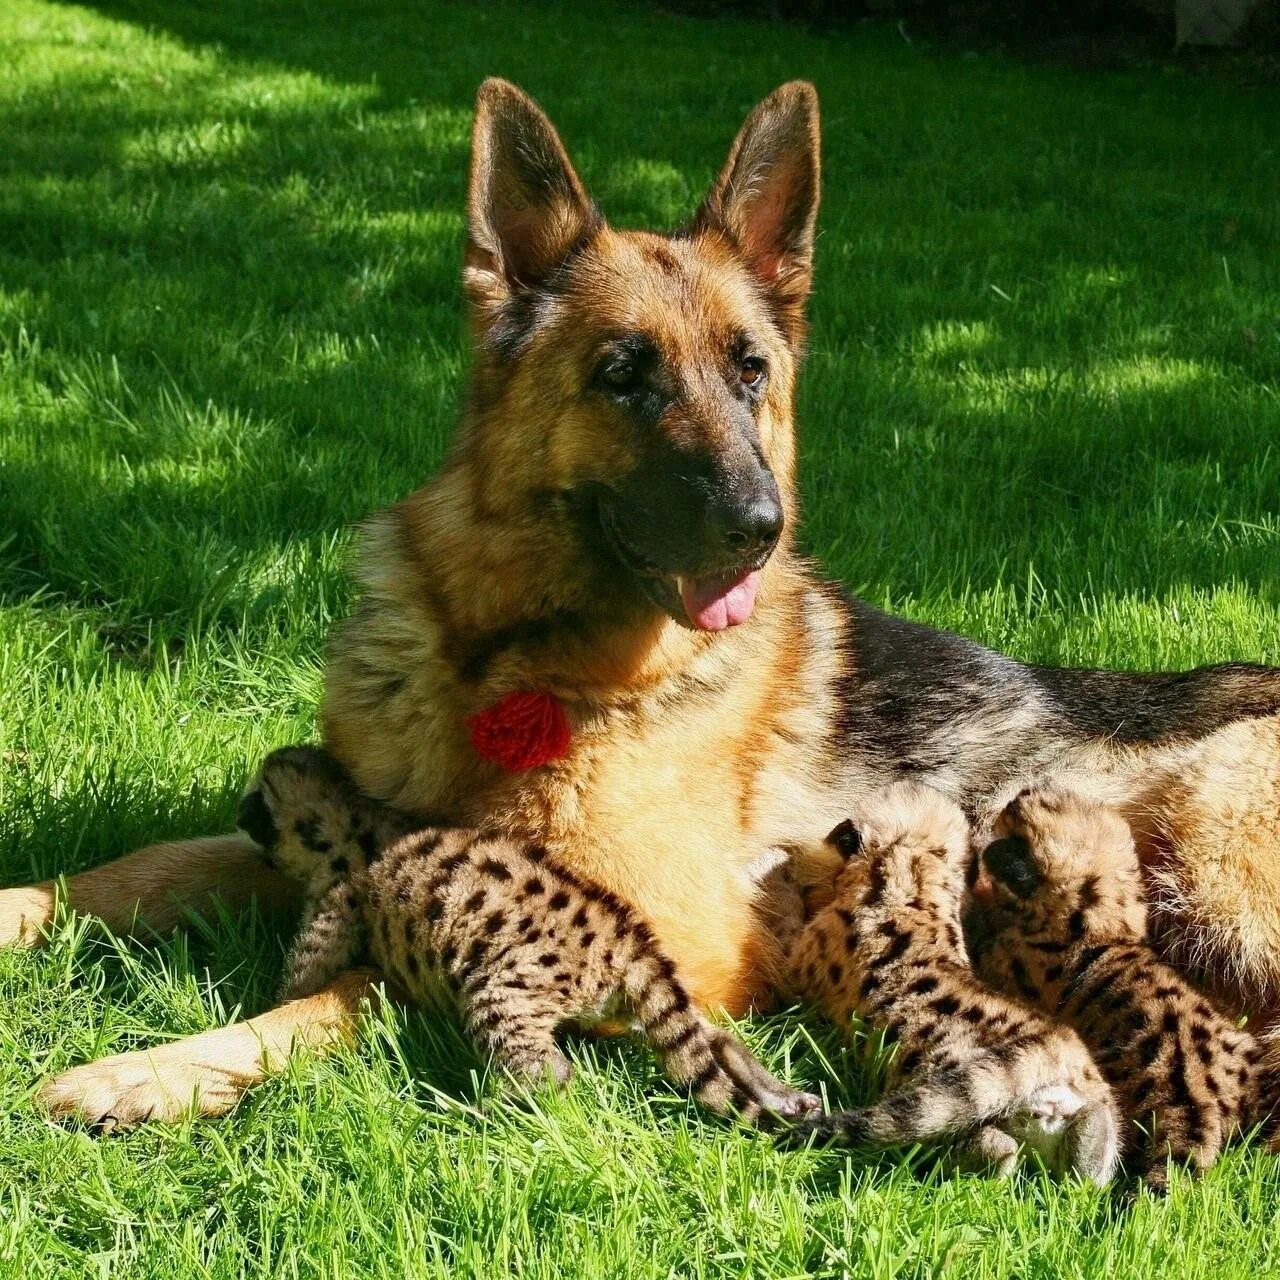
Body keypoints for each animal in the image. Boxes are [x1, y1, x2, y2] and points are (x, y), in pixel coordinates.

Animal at [12, 80, 1280, 1126]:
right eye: (623, 373)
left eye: (749, 370)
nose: (760, 525)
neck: (501, 658)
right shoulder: (314, 822)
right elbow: (133, 868)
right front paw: (22, 913)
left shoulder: (651, 925)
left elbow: (351, 987)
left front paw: (148, 1069)